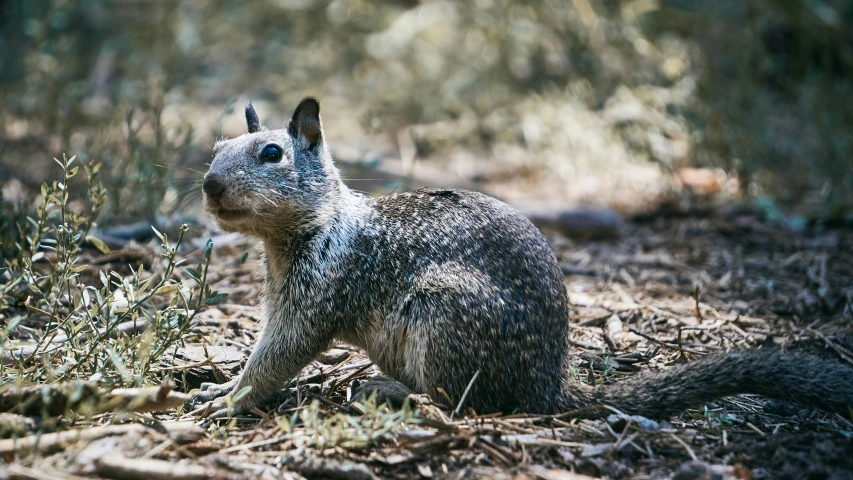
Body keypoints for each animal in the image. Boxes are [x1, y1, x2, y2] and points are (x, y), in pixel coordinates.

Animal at [193, 98, 852, 420]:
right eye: (218, 146)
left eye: (272, 153)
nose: (209, 184)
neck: (318, 227)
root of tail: (547, 387)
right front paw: (220, 387)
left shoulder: (317, 295)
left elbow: (280, 356)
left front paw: (227, 399)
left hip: (443, 313)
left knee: (463, 404)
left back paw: (392, 393)